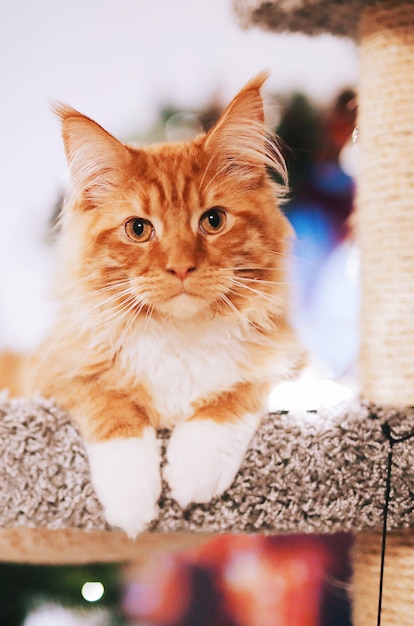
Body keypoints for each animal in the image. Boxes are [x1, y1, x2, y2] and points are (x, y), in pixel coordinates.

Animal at [26, 72, 304, 532]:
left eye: (213, 220)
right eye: (138, 229)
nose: (180, 268)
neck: (178, 334)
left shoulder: (291, 361)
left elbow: (234, 394)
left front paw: (194, 469)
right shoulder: (58, 372)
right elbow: (112, 408)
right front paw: (132, 499)